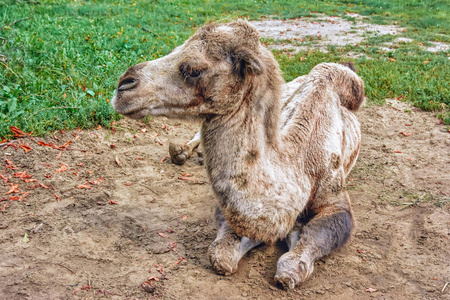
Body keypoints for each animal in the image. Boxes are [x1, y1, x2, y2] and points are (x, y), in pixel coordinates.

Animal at [110, 20, 364, 288]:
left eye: (194, 69)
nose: (123, 85)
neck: (298, 162)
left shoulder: (335, 199)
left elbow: (316, 238)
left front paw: (292, 257)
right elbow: (222, 253)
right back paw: (182, 151)